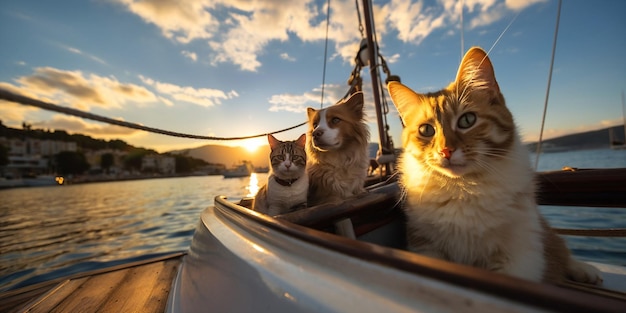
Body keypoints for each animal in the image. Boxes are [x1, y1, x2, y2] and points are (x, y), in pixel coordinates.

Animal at [386, 46, 600, 282]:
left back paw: (584, 269)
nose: (445, 151)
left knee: (558, 247)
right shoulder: (426, 246)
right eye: (426, 130)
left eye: (467, 120)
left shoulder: (517, 256)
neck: (464, 188)